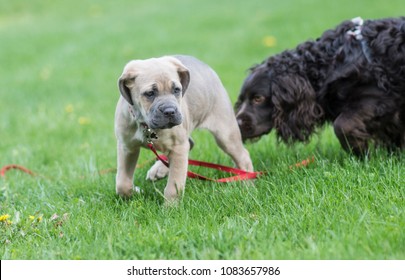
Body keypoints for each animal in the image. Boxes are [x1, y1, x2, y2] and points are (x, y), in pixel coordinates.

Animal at [114, 54, 252, 202]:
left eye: (176, 90)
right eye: (150, 93)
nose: (170, 111)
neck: (147, 126)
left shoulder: (178, 147)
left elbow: (173, 186)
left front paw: (170, 207)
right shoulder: (127, 147)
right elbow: (122, 182)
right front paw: (133, 192)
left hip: (225, 134)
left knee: (243, 155)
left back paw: (247, 184)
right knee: (189, 144)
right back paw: (159, 169)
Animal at [234, 17, 404, 158]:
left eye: (258, 98)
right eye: (241, 100)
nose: (237, 124)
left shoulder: (380, 97)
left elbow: (342, 125)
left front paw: (361, 152)